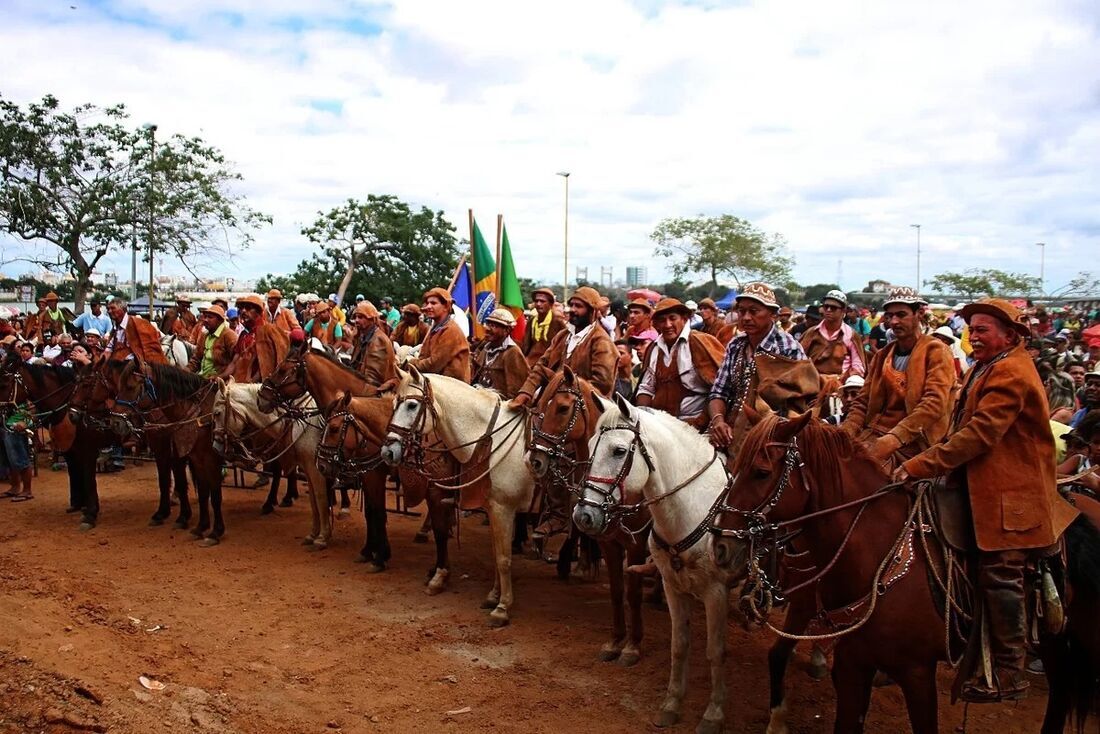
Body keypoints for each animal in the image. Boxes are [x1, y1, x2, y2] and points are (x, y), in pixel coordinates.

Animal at [210, 382, 330, 548]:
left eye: (217, 413)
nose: (215, 446)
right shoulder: (307, 467)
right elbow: (314, 501)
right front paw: (313, 534)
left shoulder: (316, 469)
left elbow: (320, 498)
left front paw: (323, 537)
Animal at [382, 367, 536, 625]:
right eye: (394, 403)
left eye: (412, 405)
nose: (387, 451)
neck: (488, 439)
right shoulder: (493, 508)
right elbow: (496, 553)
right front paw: (494, 596)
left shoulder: (502, 508)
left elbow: (503, 558)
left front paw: (502, 607)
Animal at [530, 367, 651, 664]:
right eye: (541, 405)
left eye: (562, 408)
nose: (535, 460)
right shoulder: (608, 541)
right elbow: (617, 591)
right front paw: (616, 641)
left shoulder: (636, 544)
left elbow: (633, 593)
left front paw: (633, 645)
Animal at [580, 396, 743, 734]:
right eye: (589, 447)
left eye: (618, 451)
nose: (583, 515)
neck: (692, 508)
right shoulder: (672, 585)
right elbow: (678, 645)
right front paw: (671, 704)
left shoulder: (715, 592)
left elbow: (716, 650)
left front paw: (714, 712)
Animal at [712, 413, 1100, 734]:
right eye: (734, 462)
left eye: (761, 472)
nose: (720, 546)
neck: (878, 553)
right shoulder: (853, 663)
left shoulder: (916, 672)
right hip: (1053, 638)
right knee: (1062, 691)